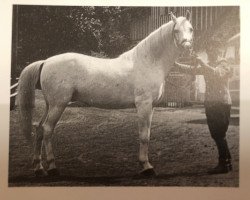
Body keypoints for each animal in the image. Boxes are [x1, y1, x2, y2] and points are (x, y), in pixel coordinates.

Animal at [18, 11, 193, 177]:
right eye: (176, 30)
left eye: (191, 29)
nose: (187, 48)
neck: (148, 62)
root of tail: (46, 61)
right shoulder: (143, 105)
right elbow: (144, 136)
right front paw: (146, 167)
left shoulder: (152, 107)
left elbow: (147, 135)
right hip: (58, 104)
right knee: (48, 130)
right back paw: (53, 168)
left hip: (50, 104)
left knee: (39, 129)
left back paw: (39, 169)